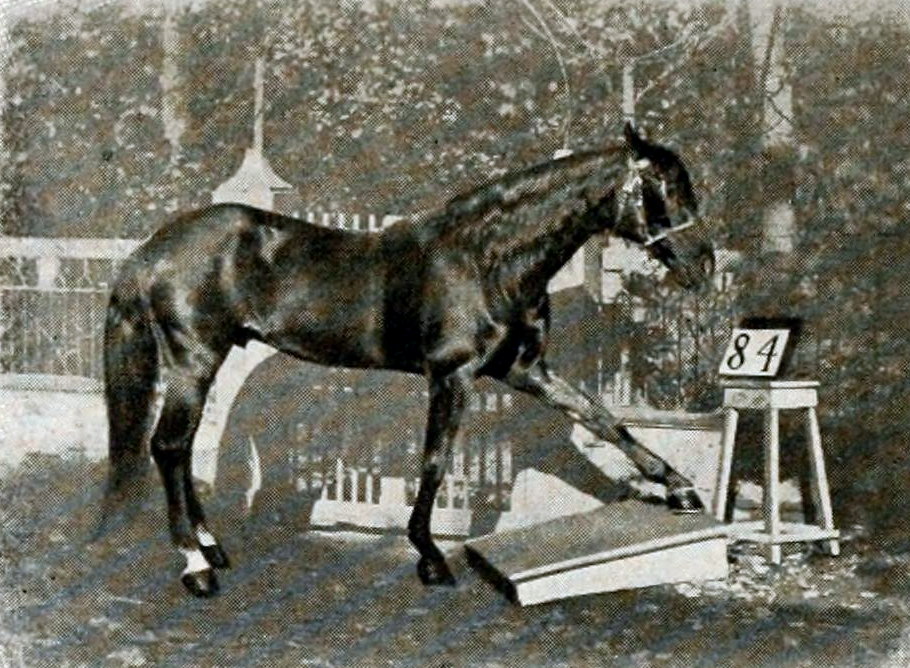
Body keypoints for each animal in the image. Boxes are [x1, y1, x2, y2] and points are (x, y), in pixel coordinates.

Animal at [100, 123, 715, 597]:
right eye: (661, 185)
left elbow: (604, 419)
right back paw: (195, 565)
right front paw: (430, 557)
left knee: (179, 449)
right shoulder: (452, 375)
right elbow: (435, 461)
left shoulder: (525, 371)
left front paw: (681, 488)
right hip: (194, 361)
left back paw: (211, 547)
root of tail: (152, 250)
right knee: (169, 446)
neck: (486, 261)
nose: (702, 264)